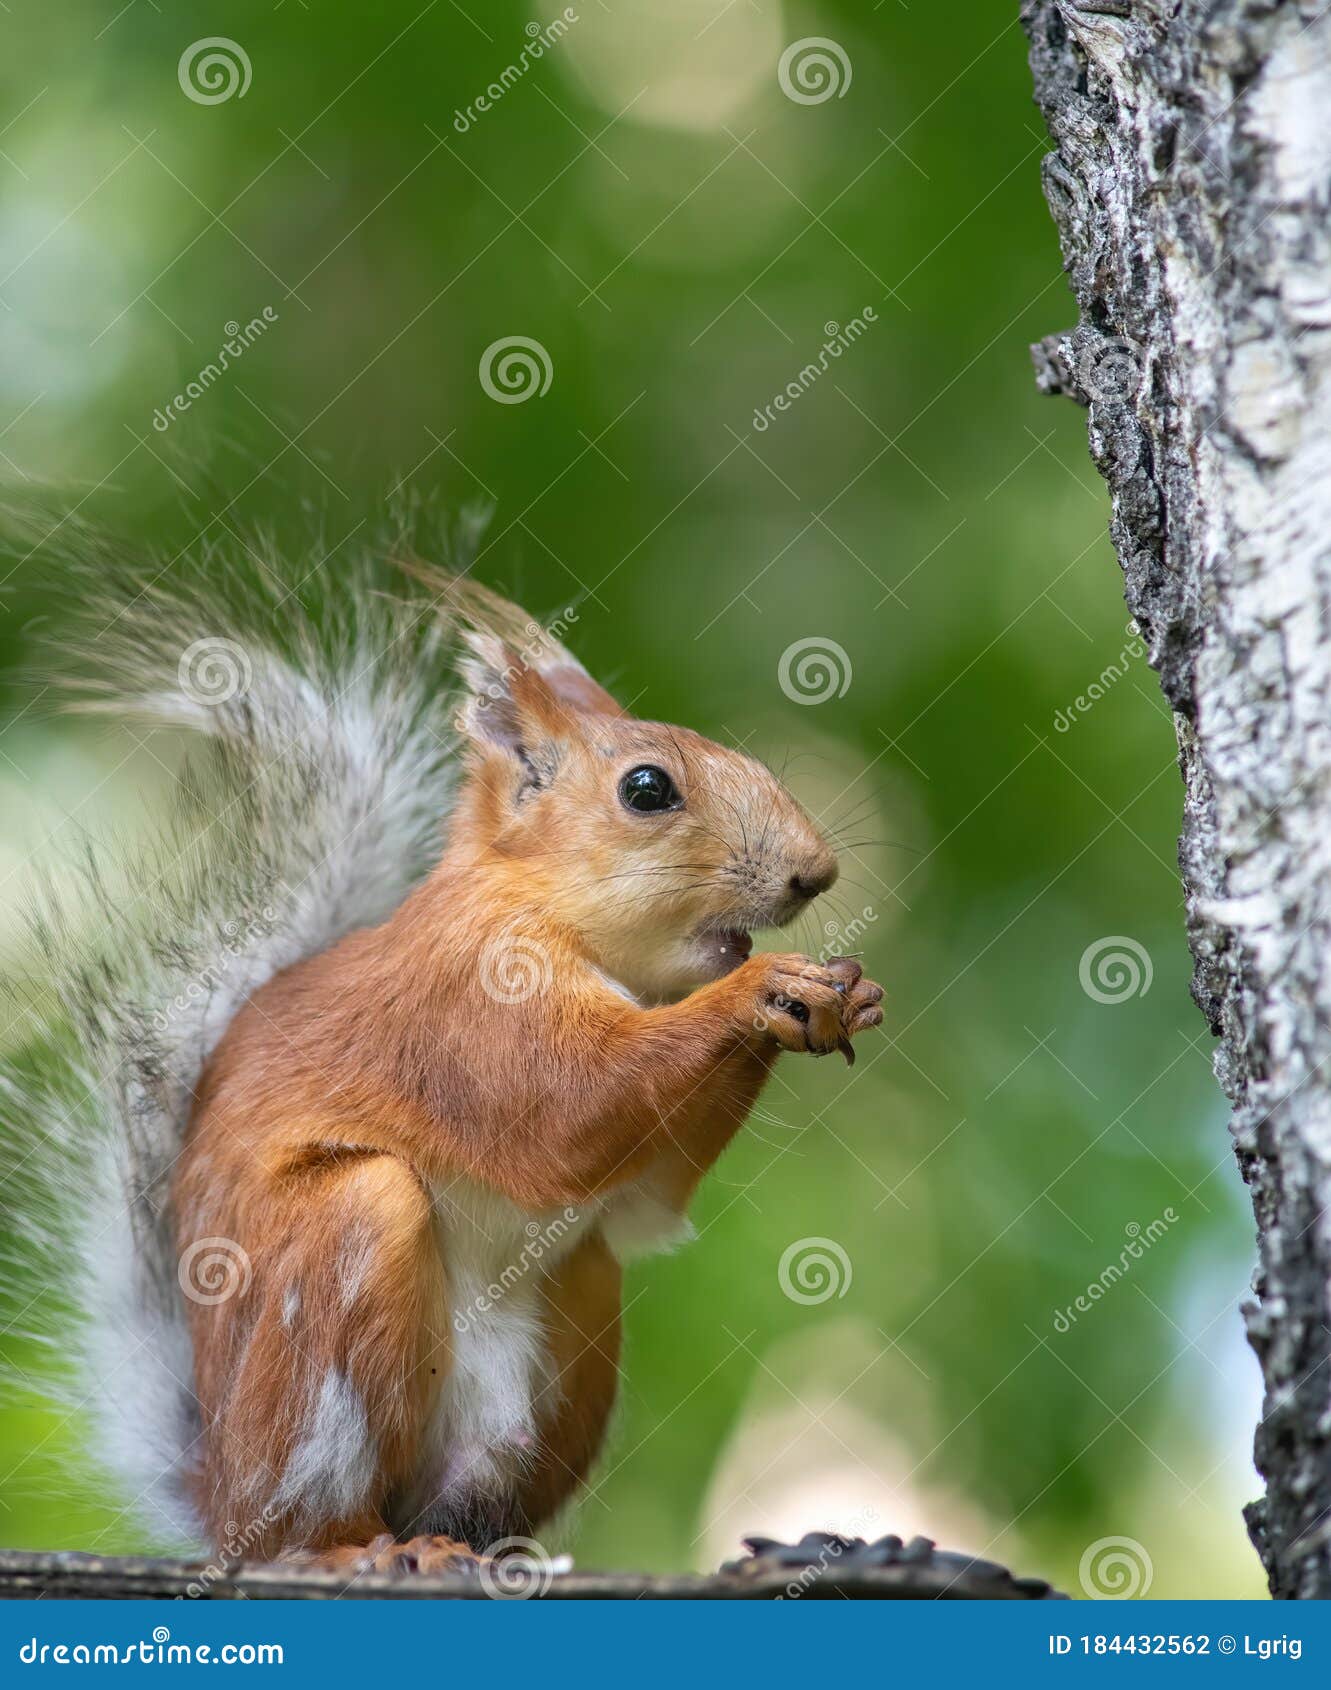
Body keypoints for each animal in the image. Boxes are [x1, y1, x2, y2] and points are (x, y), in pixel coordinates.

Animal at [10, 520, 891, 1575]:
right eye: (647, 788)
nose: (816, 871)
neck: (554, 918)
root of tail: (221, 1502)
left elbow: (644, 1191)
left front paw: (845, 993)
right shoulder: (467, 998)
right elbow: (568, 1110)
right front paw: (764, 992)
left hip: (575, 1317)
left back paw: (469, 1547)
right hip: (340, 1265)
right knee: (310, 1512)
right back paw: (347, 1549)